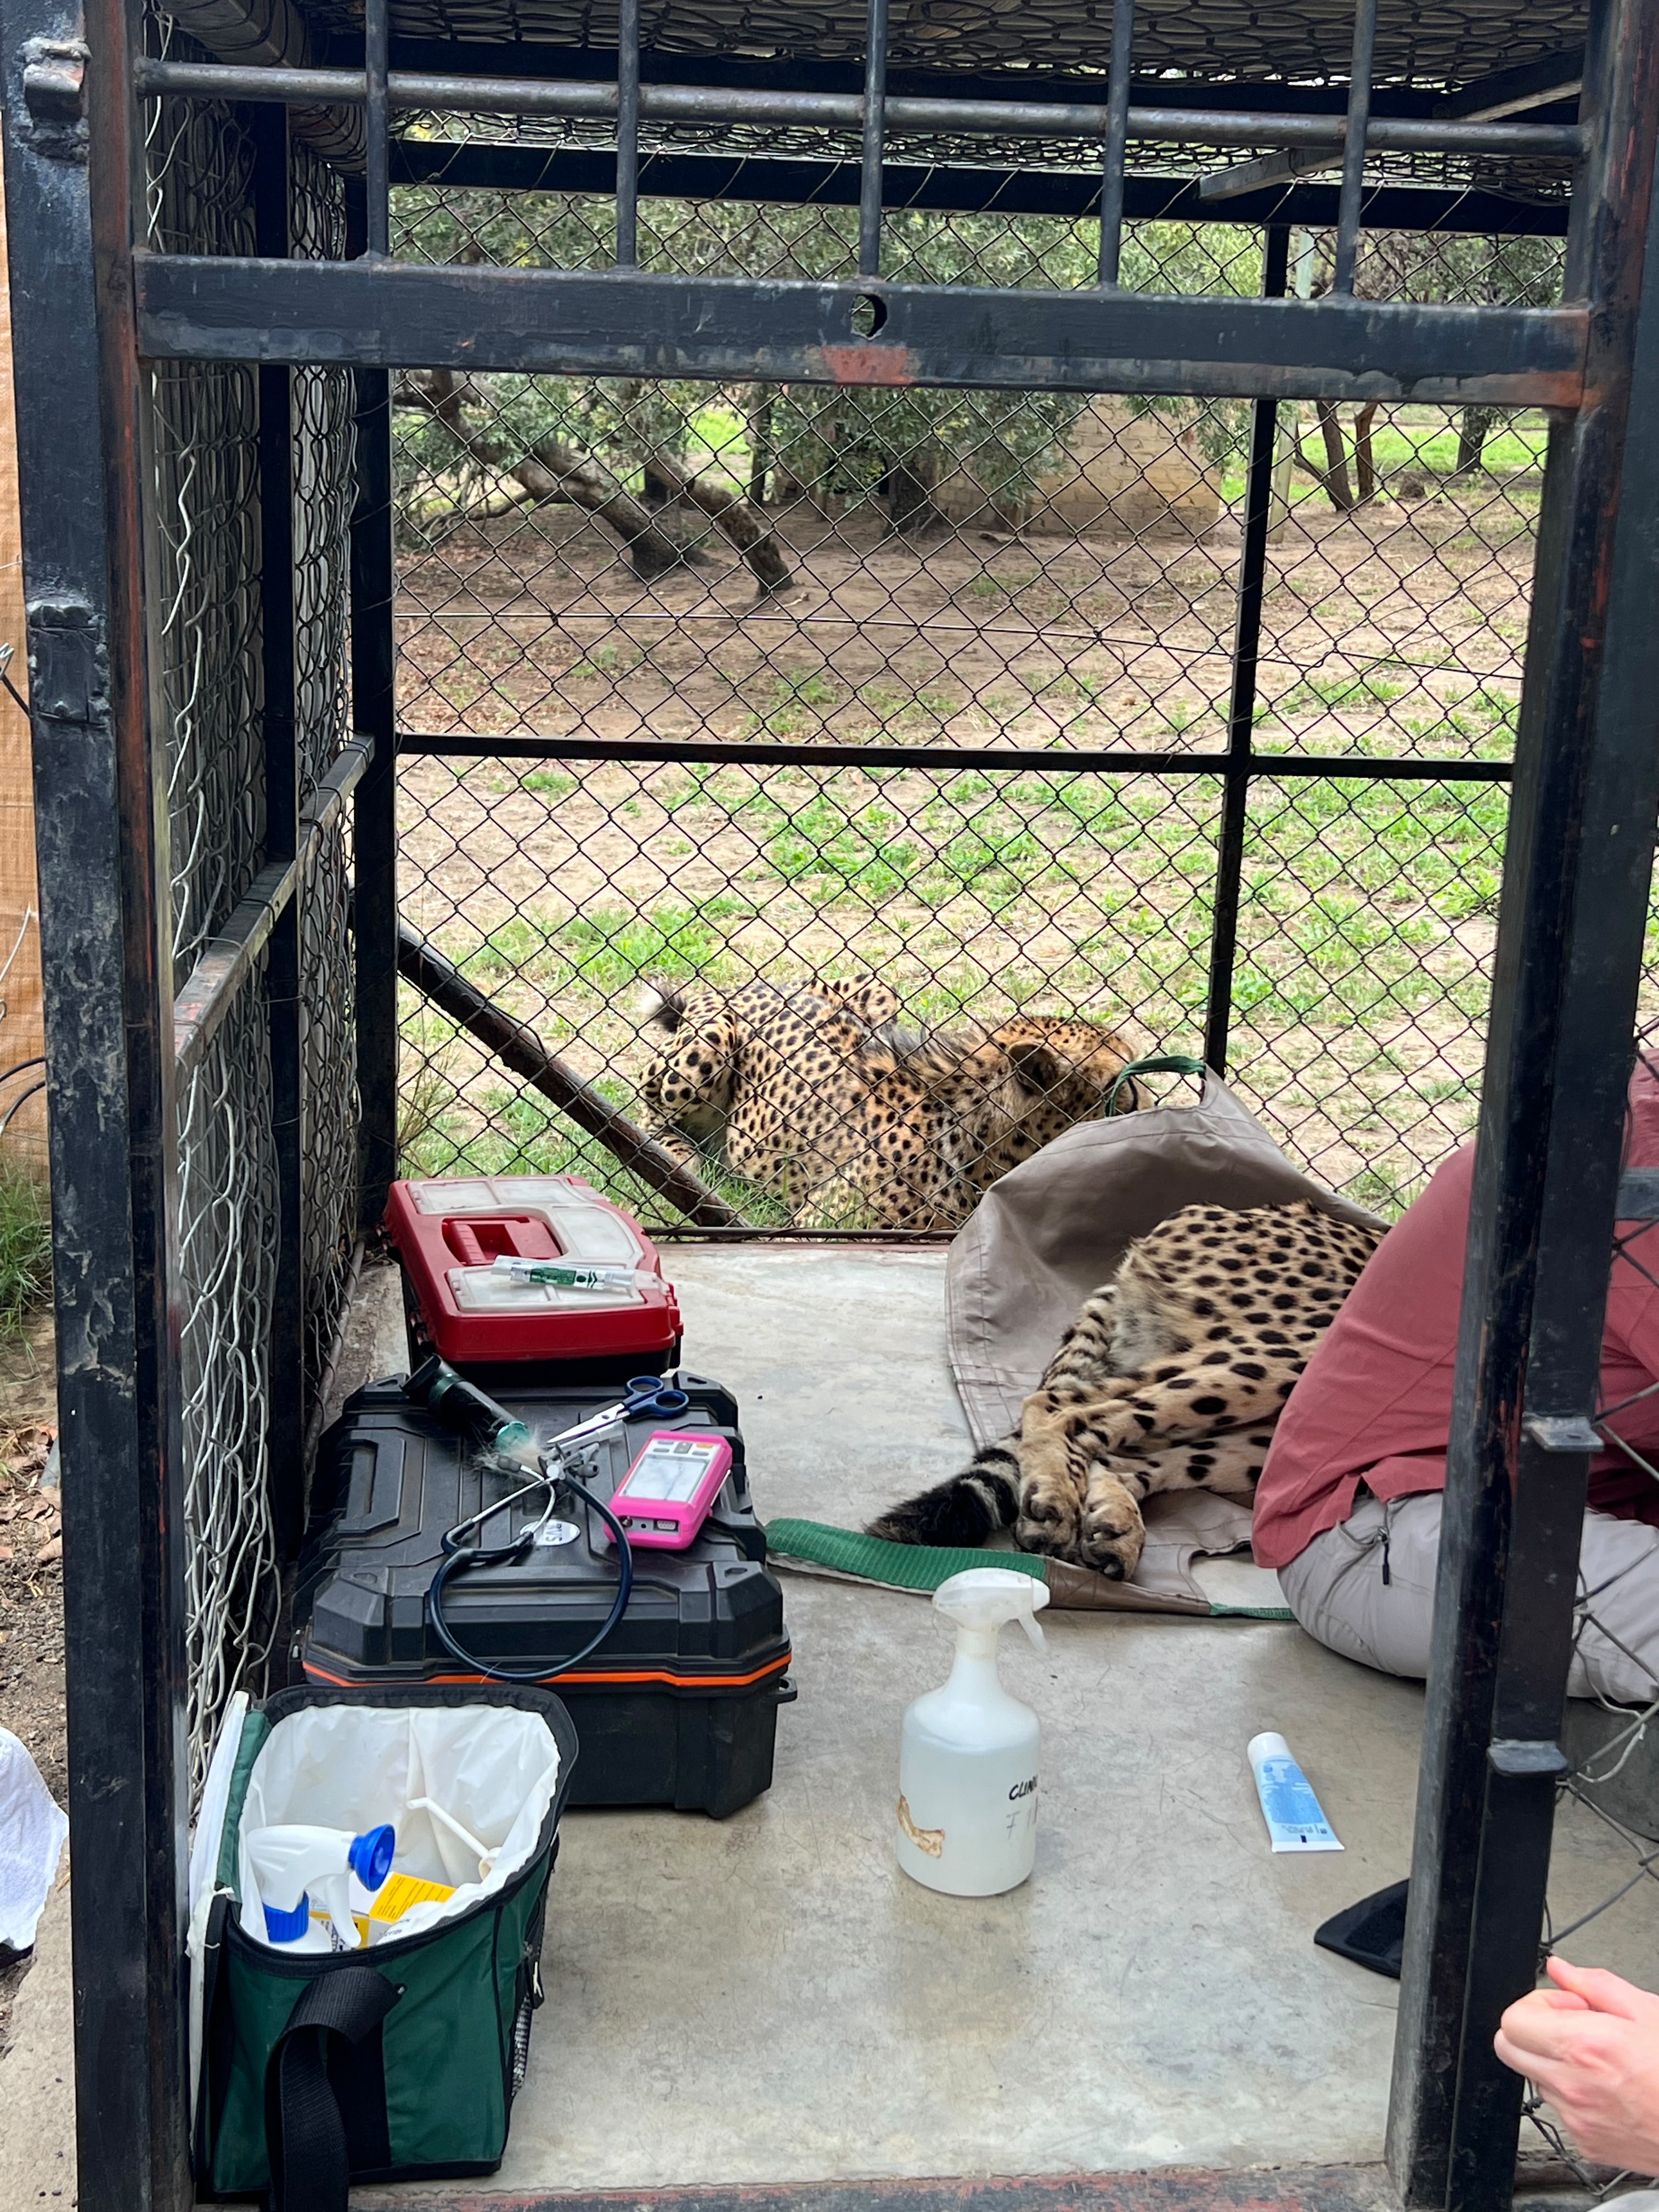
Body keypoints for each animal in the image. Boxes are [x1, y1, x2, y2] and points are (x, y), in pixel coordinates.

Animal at [638, 972, 1141, 1231]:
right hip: (707, 1045)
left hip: (878, 990)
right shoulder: (820, 1224)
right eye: (1125, 1087)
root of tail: (741, 984)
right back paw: (679, 1161)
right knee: (649, 1114)